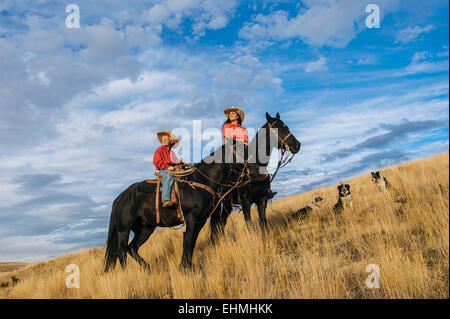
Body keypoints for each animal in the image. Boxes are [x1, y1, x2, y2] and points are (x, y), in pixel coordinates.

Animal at [103, 146, 248, 272]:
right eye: (242, 151)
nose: (248, 171)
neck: (200, 182)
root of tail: (119, 199)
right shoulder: (190, 218)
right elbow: (187, 241)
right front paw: (183, 268)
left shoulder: (200, 221)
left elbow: (192, 242)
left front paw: (188, 265)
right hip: (124, 229)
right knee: (121, 251)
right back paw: (128, 273)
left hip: (146, 228)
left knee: (132, 248)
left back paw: (148, 269)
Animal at [209, 113, 300, 242]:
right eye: (276, 127)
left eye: (286, 126)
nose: (297, 145)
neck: (254, 167)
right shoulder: (245, 203)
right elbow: (249, 225)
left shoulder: (262, 200)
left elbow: (263, 223)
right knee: (217, 223)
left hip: (228, 204)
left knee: (221, 222)